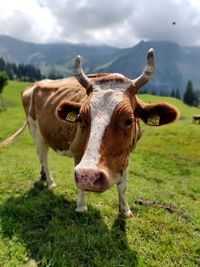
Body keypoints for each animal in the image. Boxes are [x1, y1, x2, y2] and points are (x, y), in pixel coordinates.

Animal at [0, 49, 180, 218]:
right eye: (80, 117)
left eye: (129, 120)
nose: (90, 175)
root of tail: (35, 85)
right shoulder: (78, 150)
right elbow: (79, 181)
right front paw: (81, 206)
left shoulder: (128, 153)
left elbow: (123, 185)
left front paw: (125, 210)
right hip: (35, 130)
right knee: (43, 156)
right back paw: (50, 182)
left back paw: (43, 176)